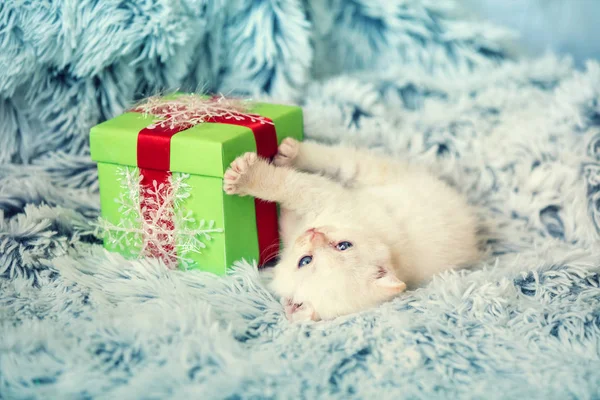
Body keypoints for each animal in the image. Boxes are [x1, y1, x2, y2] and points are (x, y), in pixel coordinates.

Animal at [223, 138, 480, 322]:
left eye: (305, 261)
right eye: (344, 245)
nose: (314, 234)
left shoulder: (328, 198)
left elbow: (291, 187)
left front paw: (248, 177)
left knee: (348, 161)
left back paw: (290, 154)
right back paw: (292, 154)